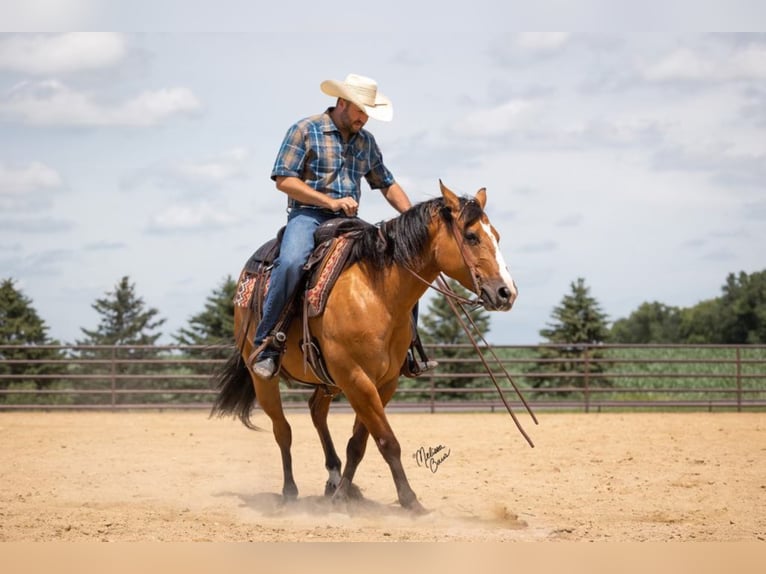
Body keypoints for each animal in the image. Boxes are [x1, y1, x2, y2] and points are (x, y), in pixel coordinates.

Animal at [213, 182, 520, 516]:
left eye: (497, 236)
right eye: (471, 236)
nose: (506, 292)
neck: (376, 293)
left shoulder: (382, 382)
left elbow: (358, 444)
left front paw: (342, 495)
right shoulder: (356, 378)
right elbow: (387, 441)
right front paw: (410, 500)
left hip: (328, 381)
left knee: (316, 412)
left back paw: (333, 479)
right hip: (263, 378)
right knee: (283, 430)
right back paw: (289, 491)